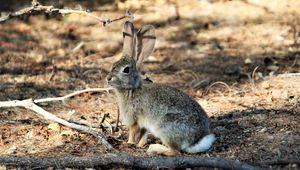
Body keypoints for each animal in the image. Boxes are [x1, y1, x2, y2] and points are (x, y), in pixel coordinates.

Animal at [106, 20, 214, 155]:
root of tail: (195, 141)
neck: (132, 90)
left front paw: (129, 143)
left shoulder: (134, 118)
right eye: (113, 65)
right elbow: (143, 134)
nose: (108, 78)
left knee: (175, 151)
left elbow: (133, 132)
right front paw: (140, 145)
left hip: (165, 127)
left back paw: (154, 148)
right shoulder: (143, 124)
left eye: (126, 70)